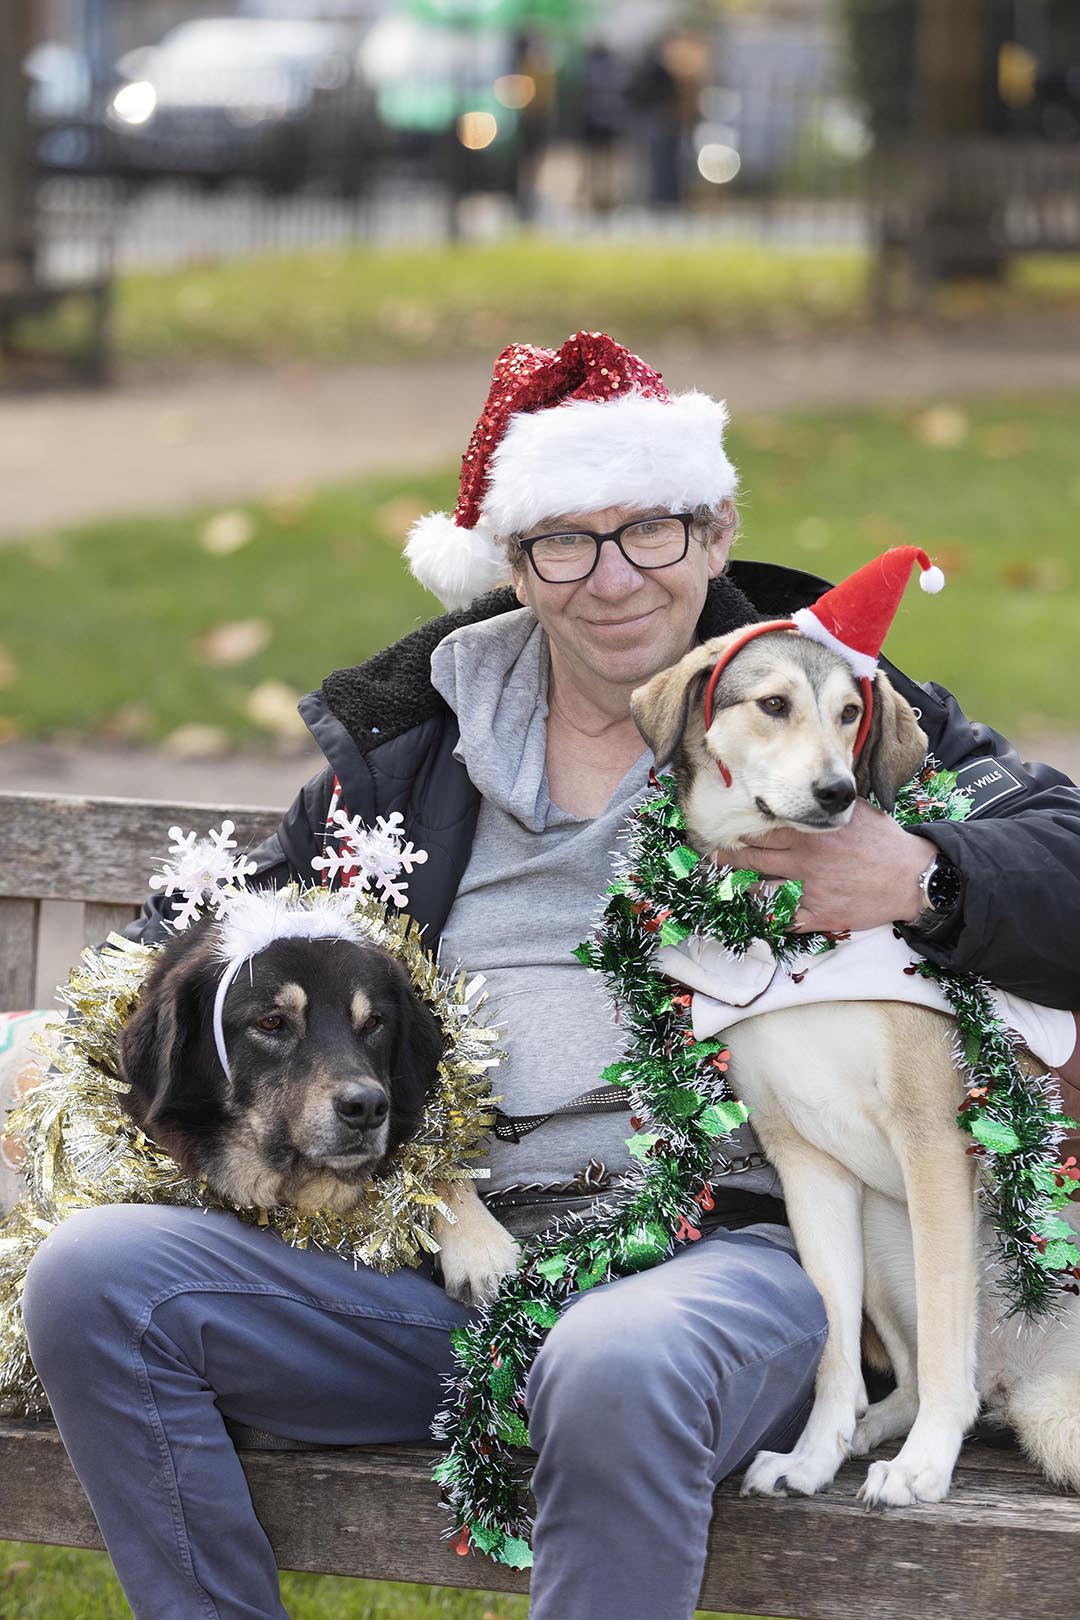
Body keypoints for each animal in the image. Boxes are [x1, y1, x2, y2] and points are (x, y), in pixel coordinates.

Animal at [631, 625, 1080, 1507]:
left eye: (850, 714)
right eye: (773, 704)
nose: (837, 792)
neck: (798, 939)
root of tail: (1027, 1380)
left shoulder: (933, 1143)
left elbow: (944, 1344)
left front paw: (926, 1468)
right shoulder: (808, 1164)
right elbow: (836, 1347)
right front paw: (814, 1454)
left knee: (958, 1375)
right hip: (882, 1239)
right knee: (913, 1376)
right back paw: (872, 1431)